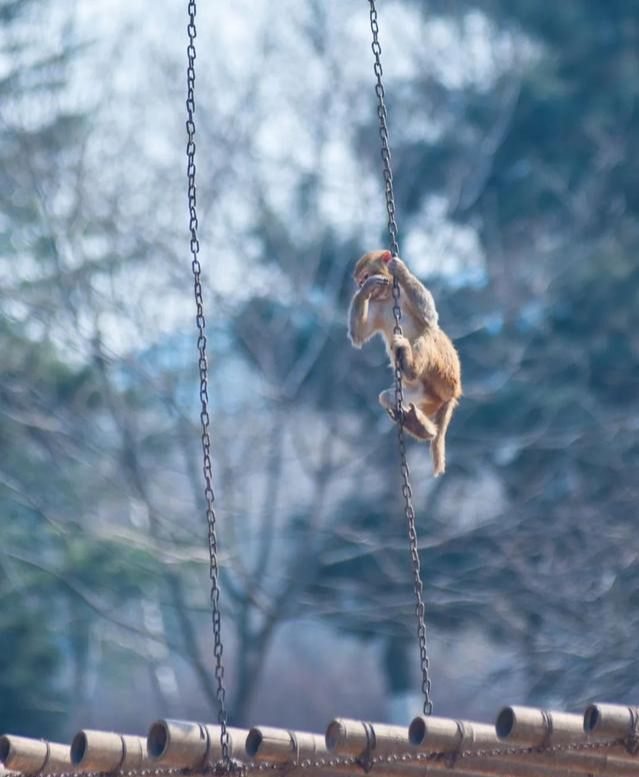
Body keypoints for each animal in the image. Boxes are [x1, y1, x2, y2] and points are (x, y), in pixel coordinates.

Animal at [348, 252, 462, 476]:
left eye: (365, 275)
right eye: (361, 281)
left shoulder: (400, 292)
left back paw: (410, 367)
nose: (363, 284)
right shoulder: (375, 305)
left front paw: (400, 268)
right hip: (426, 396)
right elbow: (359, 335)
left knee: (429, 334)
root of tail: (451, 395)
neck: (386, 298)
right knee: (388, 397)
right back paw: (420, 427)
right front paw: (364, 292)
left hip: (446, 374)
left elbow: (430, 315)